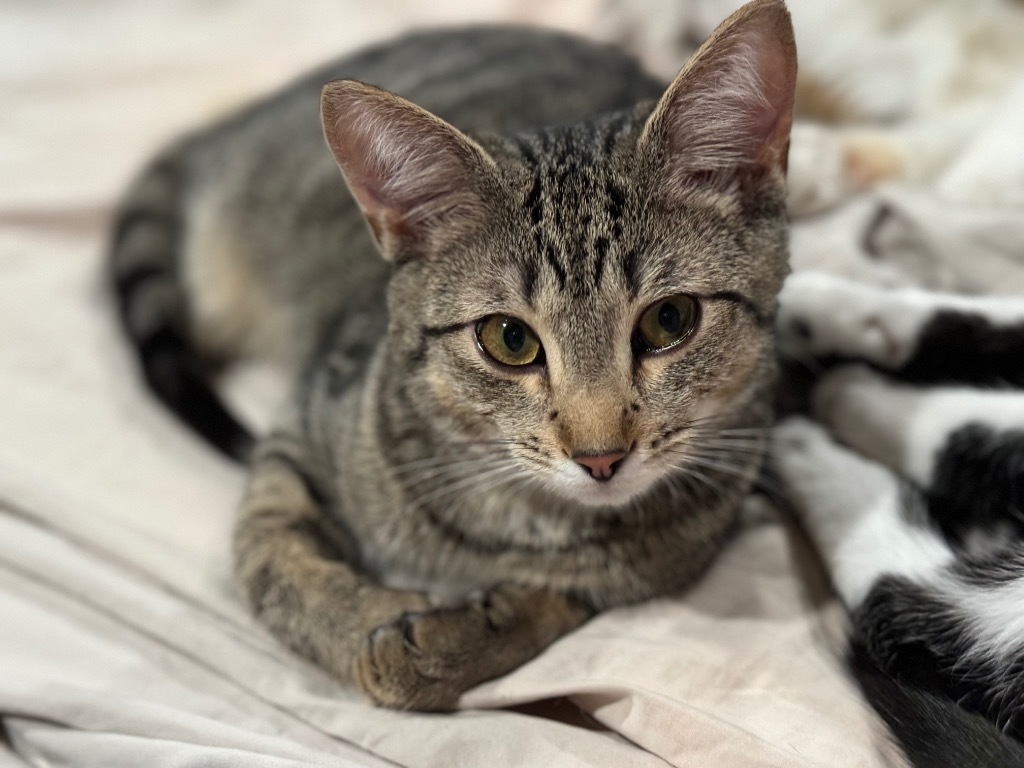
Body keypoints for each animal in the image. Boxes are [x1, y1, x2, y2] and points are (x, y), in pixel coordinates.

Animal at [112, 0, 798, 708]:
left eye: (670, 320)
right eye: (510, 340)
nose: (601, 458)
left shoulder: (671, 553)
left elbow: (560, 600)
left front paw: (449, 642)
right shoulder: (299, 432)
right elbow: (270, 561)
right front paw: (370, 624)